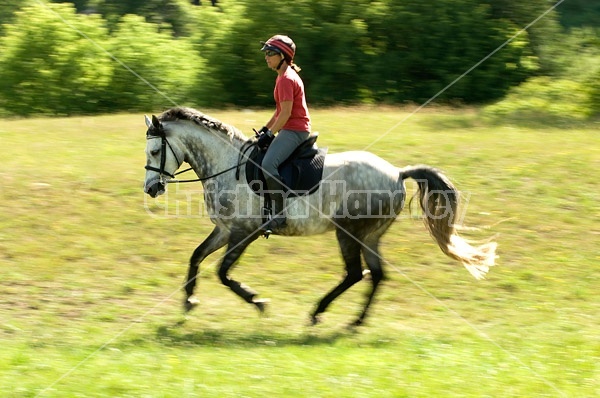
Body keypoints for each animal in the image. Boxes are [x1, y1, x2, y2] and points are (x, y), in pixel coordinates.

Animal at [142, 107, 496, 324]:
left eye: (156, 151)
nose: (150, 189)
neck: (228, 166)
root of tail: (397, 172)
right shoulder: (225, 230)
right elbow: (196, 257)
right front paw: (189, 301)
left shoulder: (244, 232)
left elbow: (223, 272)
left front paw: (257, 301)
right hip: (370, 235)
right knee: (376, 275)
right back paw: (355, 322)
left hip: (349, 232)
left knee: (355, 274)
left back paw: (318, 313)